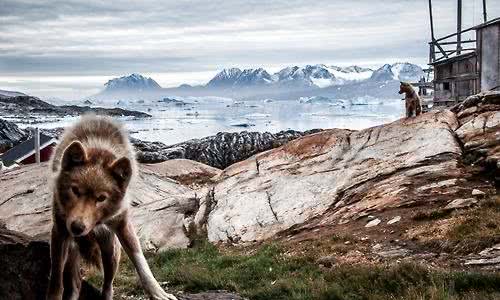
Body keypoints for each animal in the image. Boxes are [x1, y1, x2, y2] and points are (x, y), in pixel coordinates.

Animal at [47, 116, 176, 300]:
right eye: (75, 191)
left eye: (101, 198)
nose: (77, 227)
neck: (99, 151)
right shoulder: (60, 230)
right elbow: (56, 278)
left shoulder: (123, 225)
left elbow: (141, 263)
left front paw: (158, 292)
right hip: (73, 252)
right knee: (75, 284)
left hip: (111, 251)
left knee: (108, 285)